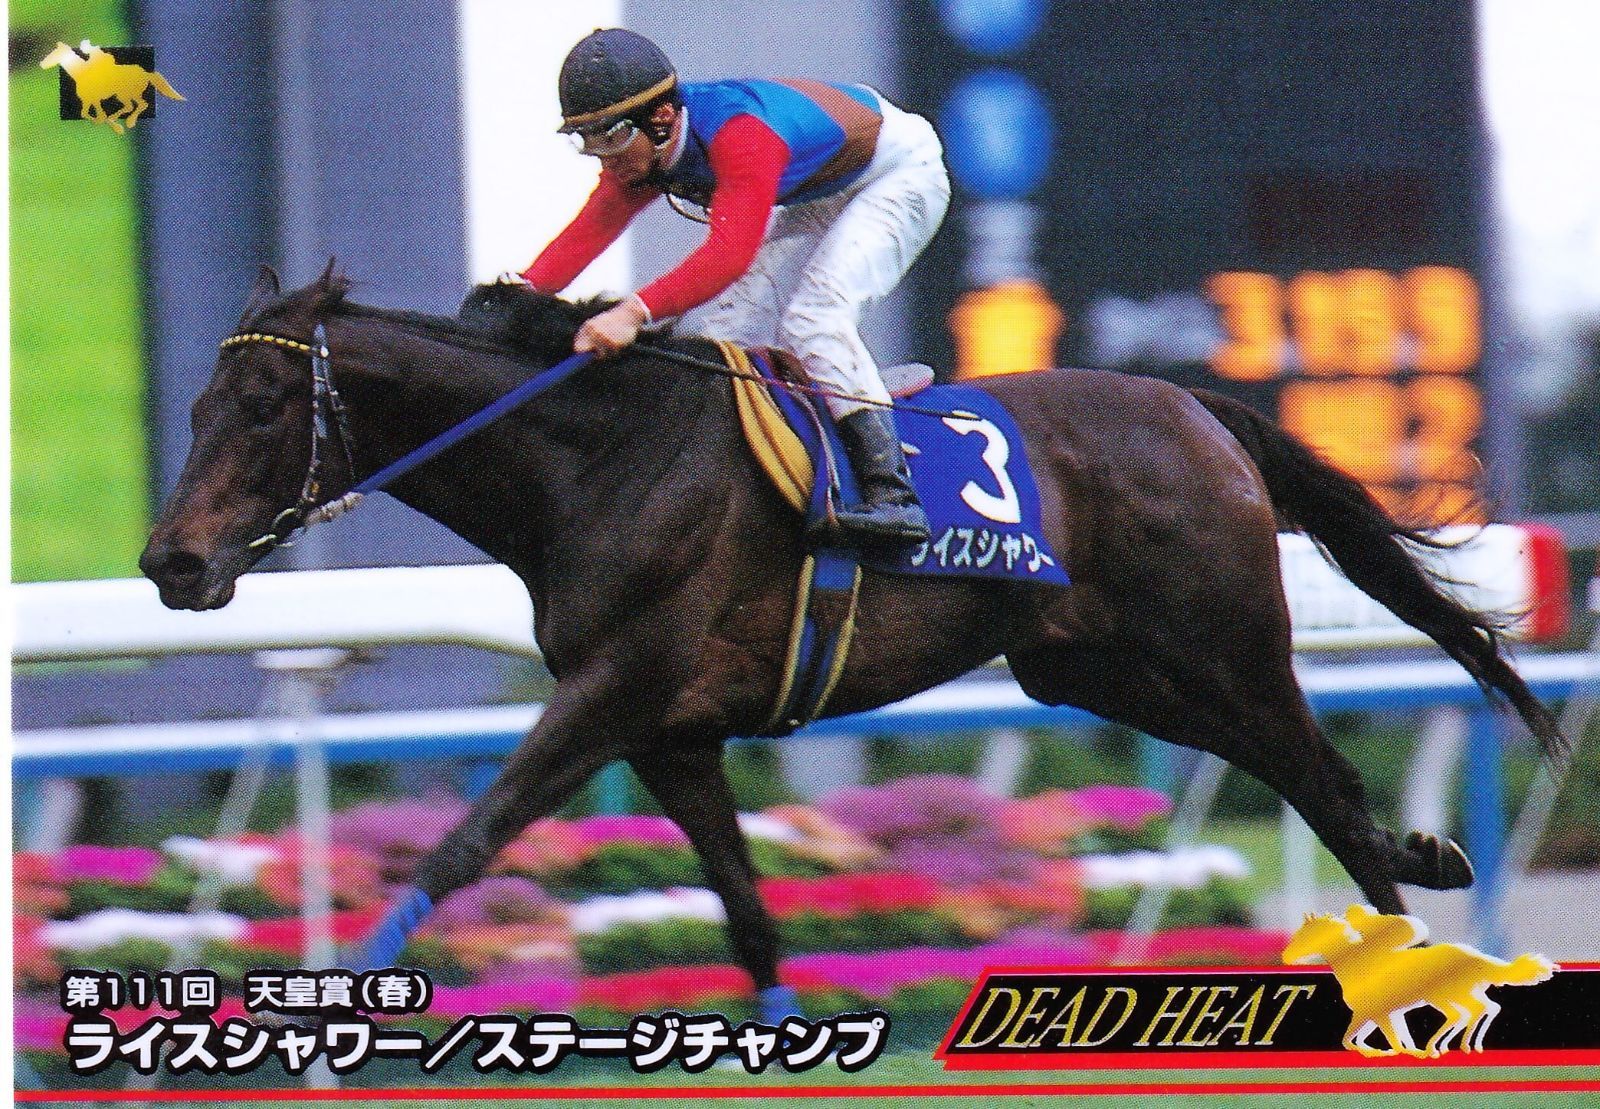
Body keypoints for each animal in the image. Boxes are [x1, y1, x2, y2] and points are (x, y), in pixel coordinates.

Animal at [39, 41, 184, 134]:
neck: (81, 74)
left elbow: (100, 115)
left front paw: (116, 127)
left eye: (54, 53)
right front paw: (106, 123)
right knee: (135, 106)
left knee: (138, 105)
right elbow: (85, 114)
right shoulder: (88, 101)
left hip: (125, 94)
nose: (41, 64)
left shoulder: (94, 100)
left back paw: (129, 121)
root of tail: (146, 73)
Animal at [141, 262, 1565, 1017]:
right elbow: (749, 919)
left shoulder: (616, 688)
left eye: (263, 404)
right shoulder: (673, 736)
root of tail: (1198, 407)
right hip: (1099, 668)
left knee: (1323, 784)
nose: (169, 561)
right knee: (1309, 785)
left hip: (1225, 646)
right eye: (201, 401)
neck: (592, 460)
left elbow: (465, 837)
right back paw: (1415, 883)